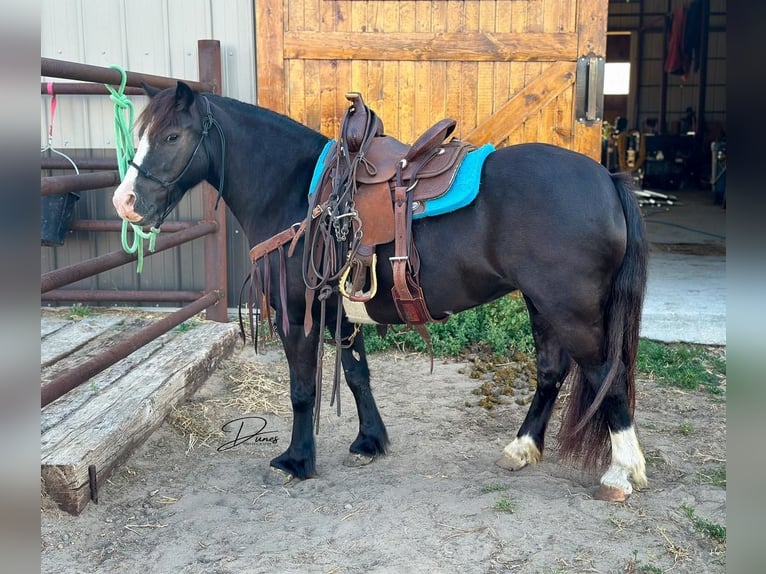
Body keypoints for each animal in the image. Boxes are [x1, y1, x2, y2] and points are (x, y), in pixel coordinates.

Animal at [114, 83, 652, 502]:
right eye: (140, 136)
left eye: (172, 135)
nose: (126, 202)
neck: (296, 191)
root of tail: (607, 178)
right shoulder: (342, 313)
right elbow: (357, 377)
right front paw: (369, 443)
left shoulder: (298, 313)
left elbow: (302, 390)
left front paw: (295, 461)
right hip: (542, 305)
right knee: (552, 372)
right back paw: (521, 448)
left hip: (571, 309)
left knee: (606, 375)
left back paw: (621, 473)